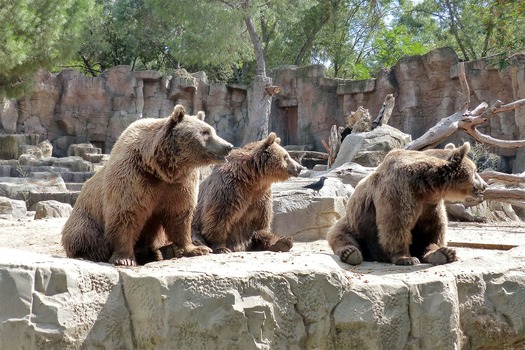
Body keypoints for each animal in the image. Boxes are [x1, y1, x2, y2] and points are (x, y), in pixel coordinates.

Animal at [61, 104, 233, 266]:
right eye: (205, 132)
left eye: (212, 130)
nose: (228, 146)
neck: (160, 168)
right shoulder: (133, 177)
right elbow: (125, 214)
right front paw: (124, 259)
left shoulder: (179, 184)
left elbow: (180, 214)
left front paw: (197, 249)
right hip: (86, 217)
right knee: (84, 234)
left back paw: (161, 252)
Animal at [328, 142, 488, 266]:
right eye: (475, 171)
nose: (485, 185)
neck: (427, 183)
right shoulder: (400, 189)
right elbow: (396, 223)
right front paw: (406, 258)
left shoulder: (430, 203)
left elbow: (434, 227)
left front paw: (442, 252)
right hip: (355, 224)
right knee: (340, 235)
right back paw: (350, 253)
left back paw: (445, 253)